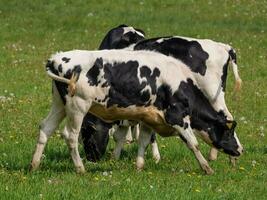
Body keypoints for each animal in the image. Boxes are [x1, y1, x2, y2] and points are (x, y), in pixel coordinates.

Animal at [30, 49, 244, 174]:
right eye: (229, 133)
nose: (241, 150)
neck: (179, 82)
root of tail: (56, 58)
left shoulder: (149, 119)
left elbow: (144, 141)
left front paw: (139, 166)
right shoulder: (177, 117)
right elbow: (193, 144)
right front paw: (207, 168)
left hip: (60, 104)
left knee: (45, 128)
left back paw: (34, 165)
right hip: (77, 106)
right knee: (70, 136)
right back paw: (80, 168)